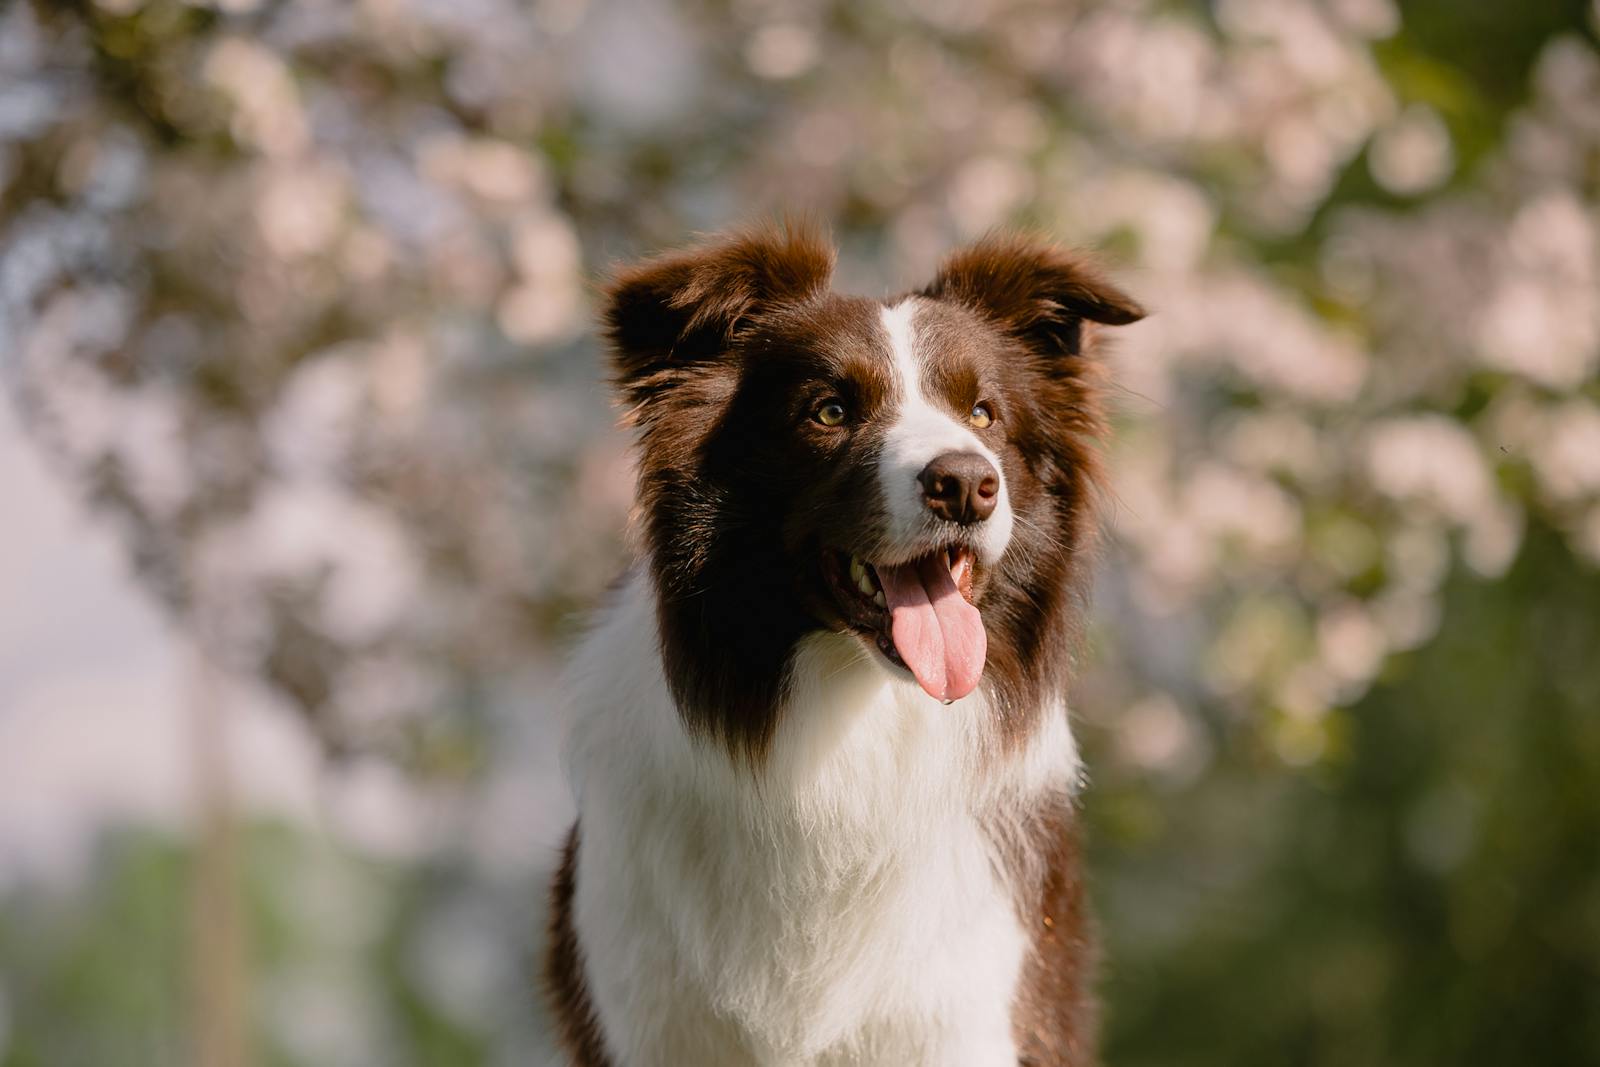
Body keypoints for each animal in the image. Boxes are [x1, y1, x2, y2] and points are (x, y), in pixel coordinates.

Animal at [544, 225, 1145, 1067]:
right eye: (829, 410)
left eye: (984, 413)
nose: (966, 483)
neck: (853, 717)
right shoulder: (646, 1013)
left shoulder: (961, 1010)